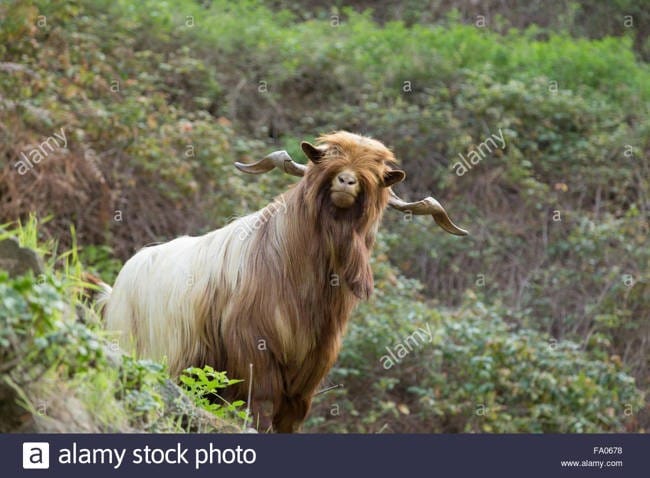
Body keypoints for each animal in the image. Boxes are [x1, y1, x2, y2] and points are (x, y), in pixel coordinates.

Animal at [102, 131, 467, 432]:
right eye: (325, 158)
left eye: (377, 174)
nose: (346, 181)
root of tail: (118, 284)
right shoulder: (254, 349)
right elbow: (261, 408)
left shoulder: (311, 369)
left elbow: (291, 417)